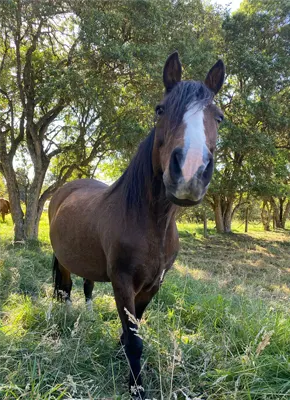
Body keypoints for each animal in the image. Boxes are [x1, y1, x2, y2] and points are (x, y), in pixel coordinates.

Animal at [48, 52, 224, 396]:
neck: (152, 224)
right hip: (63, 259)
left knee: (87, 285)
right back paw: (66, 318)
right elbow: (134, 340)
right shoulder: (123, 283)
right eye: (160, 109)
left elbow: (135, 331)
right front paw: (136, 386)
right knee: (65, 288)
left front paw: (124, 360)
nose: (190, 173)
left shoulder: (153, 284)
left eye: (219, 117)